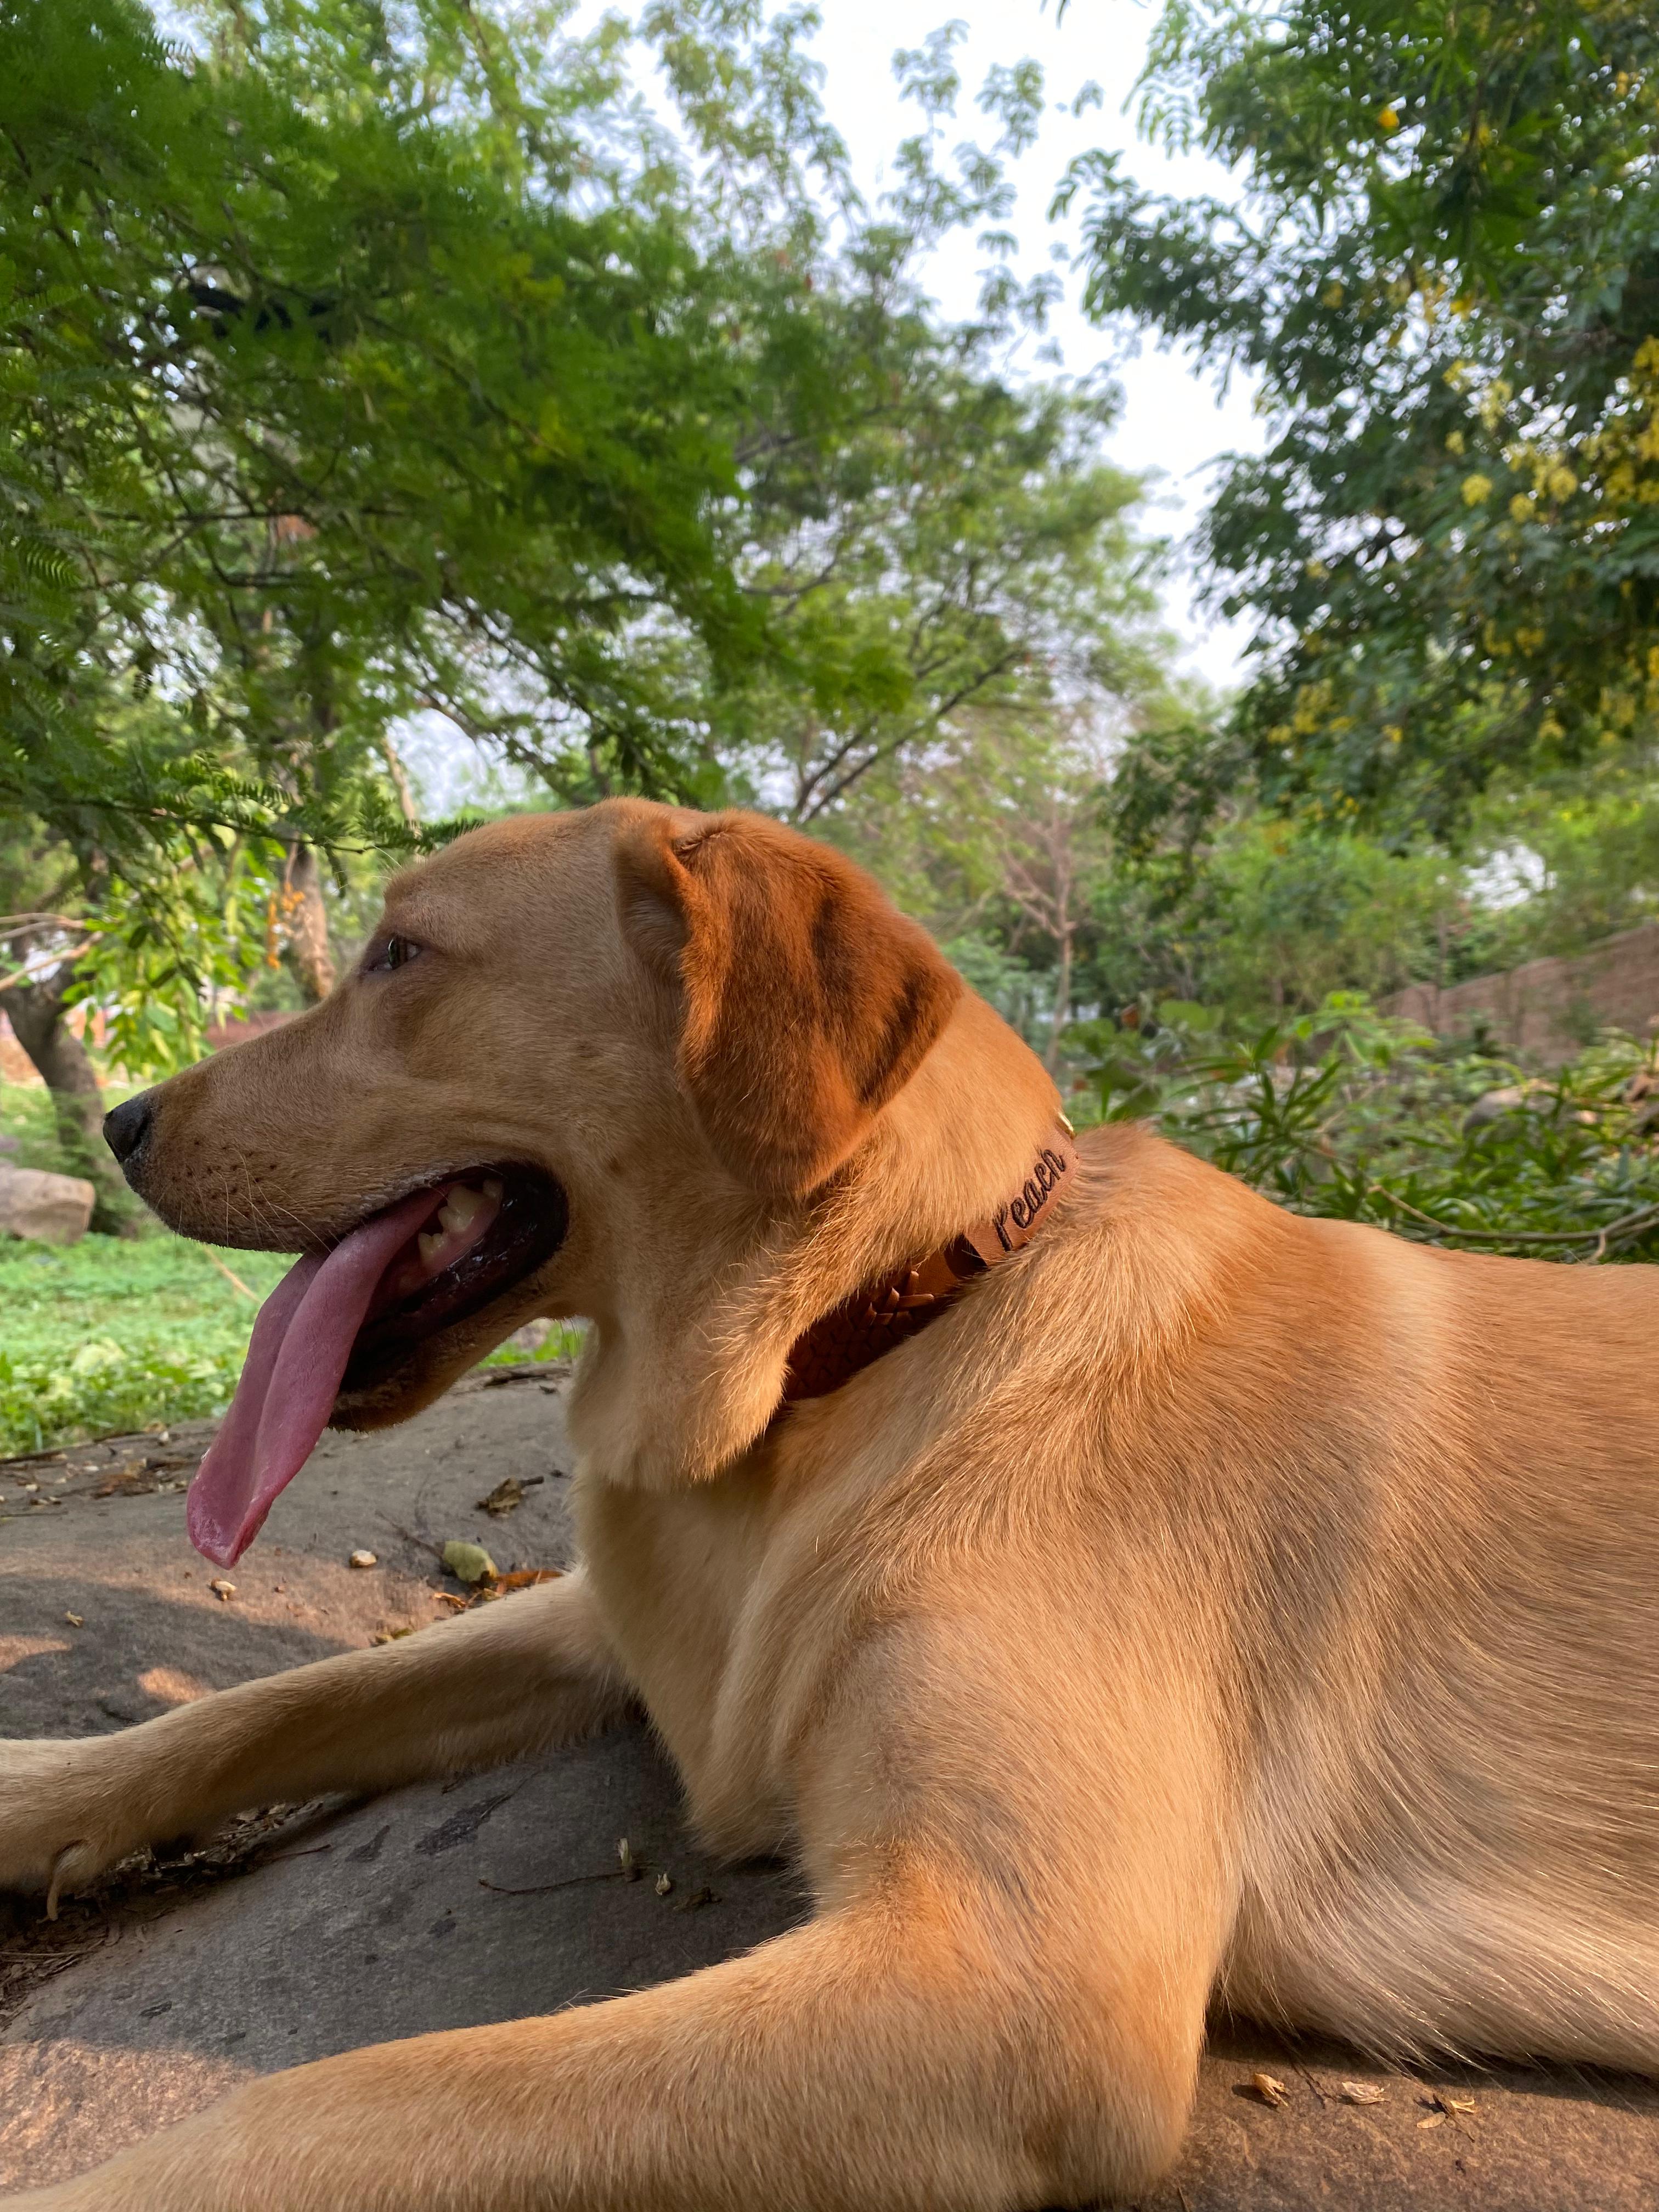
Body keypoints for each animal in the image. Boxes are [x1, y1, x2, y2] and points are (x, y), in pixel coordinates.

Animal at [3, 800, 1659, 2212]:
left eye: (401, 956)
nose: (122, 1125)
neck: (876, 1329)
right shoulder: (619, 1628)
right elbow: (278, 1698)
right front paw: (39, 1792)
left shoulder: (1010, 1977)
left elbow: (354, 2096)